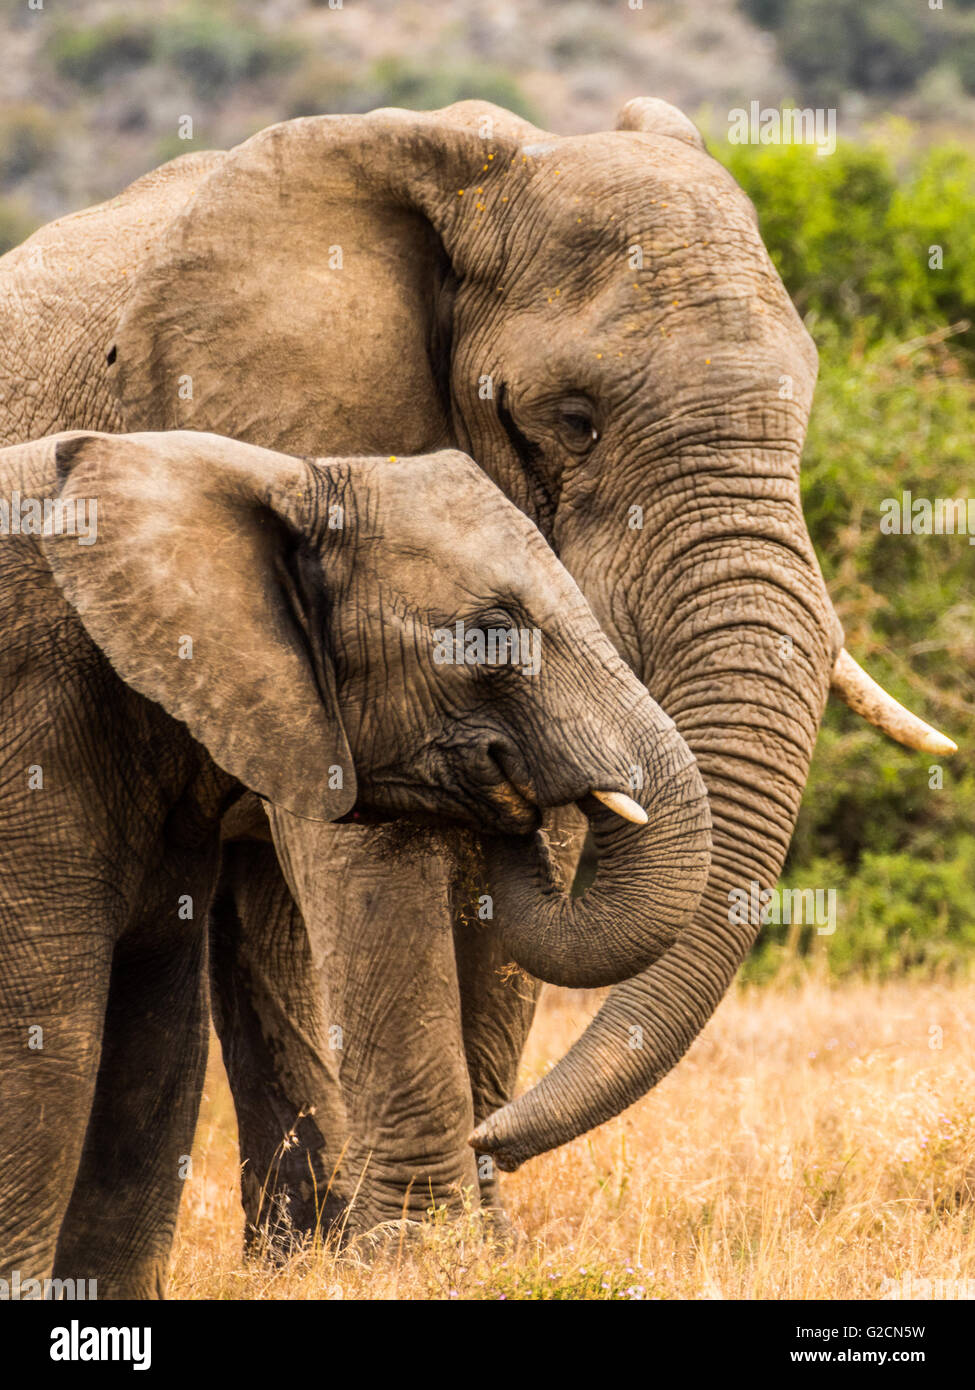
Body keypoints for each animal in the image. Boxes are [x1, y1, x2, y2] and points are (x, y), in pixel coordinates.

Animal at [0, 428, 706, 1295]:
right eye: (488, 633)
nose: (488, 1139)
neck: (289, 477)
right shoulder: (32, 732)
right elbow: (44, 1035)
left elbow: (157, 1042)